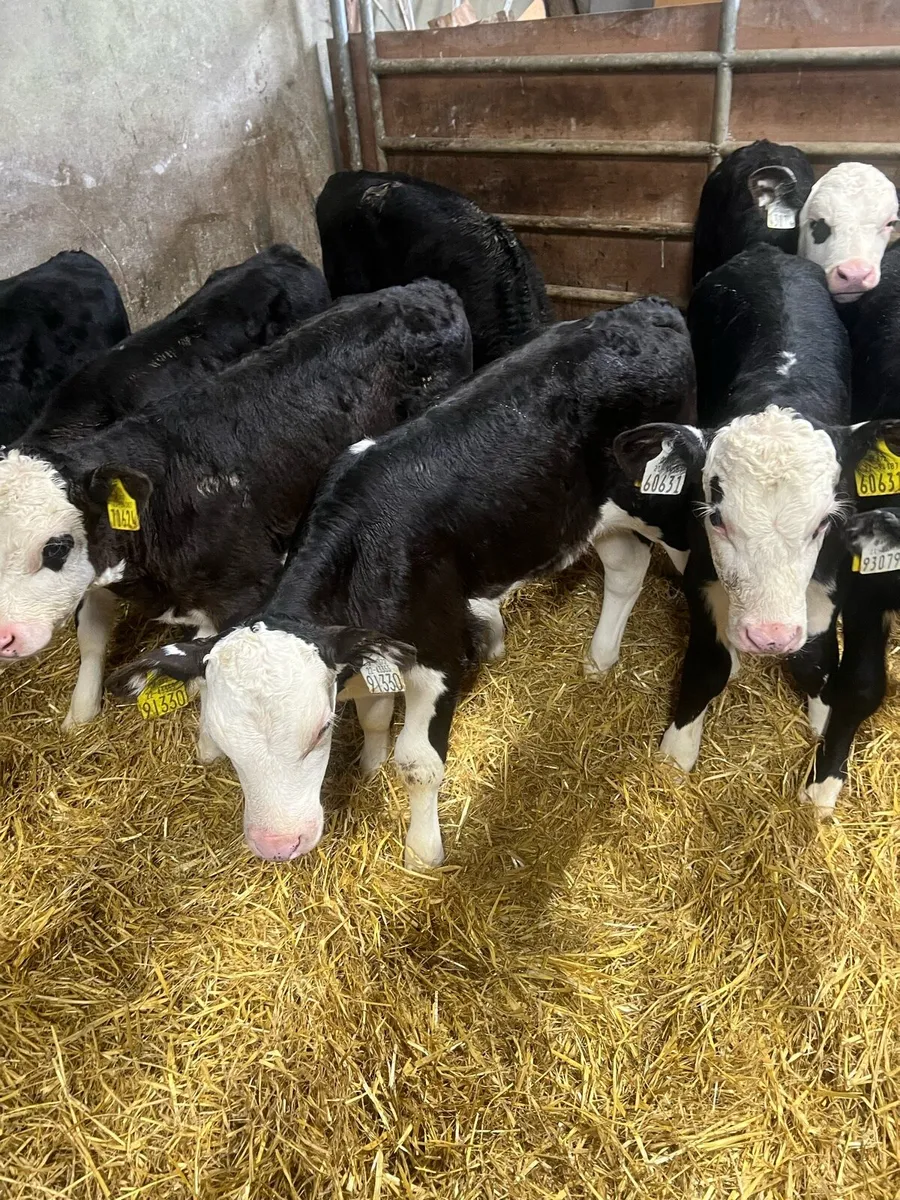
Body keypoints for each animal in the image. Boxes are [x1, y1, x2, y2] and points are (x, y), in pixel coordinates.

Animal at [0, 280, 471, 730]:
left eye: (56, 546)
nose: (5, 636)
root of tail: (427, 289)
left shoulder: (247, 591)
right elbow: (93, 635)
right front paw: (79, 713)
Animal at [106, 298, 695, 867]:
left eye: (320, 730)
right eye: (227, 746)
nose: (277, 845)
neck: (363, 546)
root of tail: (648, 309)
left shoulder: (438, 653)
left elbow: (418, 764)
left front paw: (423, 851)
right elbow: (373, 714)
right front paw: (371, 760)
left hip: (666, 508)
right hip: (591, 516)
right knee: (626, 568)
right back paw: (600, 659)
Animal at [613, 244, 893, 778]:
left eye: (822, 523)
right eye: (717, 518)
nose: (769, 637)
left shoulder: (831, 584)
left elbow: (814, 660)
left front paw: (823, 717)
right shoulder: (701, 576)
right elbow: (709, 664)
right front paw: (678, 749)